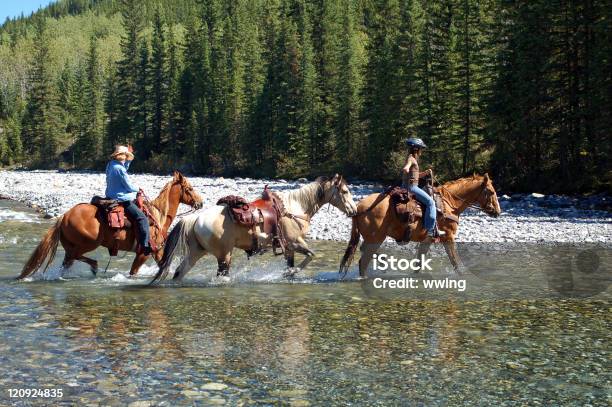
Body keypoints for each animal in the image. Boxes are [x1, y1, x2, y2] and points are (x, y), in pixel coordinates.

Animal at [16, 172, 203, 280]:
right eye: (190, 188)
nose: (200, 203)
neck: (158, 215)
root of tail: (64, 216)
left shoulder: (156, 252)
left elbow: (162, 265)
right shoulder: (144, 252)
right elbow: (133, 272)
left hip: (73, 245)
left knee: (67, 262)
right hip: (88, 243)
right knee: (74, 257)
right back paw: (94, 267)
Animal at [340, 174, 502, 278]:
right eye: (491, 191)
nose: (498, 212)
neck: (449, 203)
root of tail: (359, 207)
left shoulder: (427, 240)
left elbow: (419, 263)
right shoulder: (448, 237)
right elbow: (455, 260)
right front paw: (465, 276)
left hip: (373, 239)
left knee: (364, 251)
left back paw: (383, 262)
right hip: (377, 238)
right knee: (363, 261)